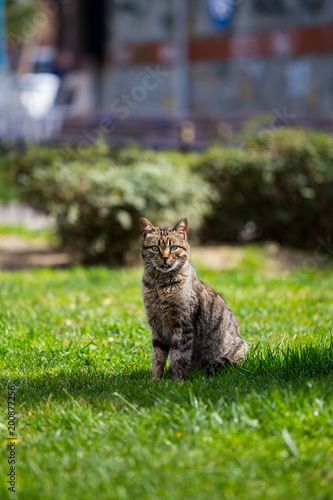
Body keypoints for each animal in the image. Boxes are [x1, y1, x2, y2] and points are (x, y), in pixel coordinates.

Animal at [140, 217, 246, 380]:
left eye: (174, 247)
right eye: (155, 248)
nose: (165, 257)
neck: (160, 286)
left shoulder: (183, 325)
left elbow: (180, 356)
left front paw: (177, 381)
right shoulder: (156, 325)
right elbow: (158, 357)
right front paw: (156, 380)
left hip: (239, 350)